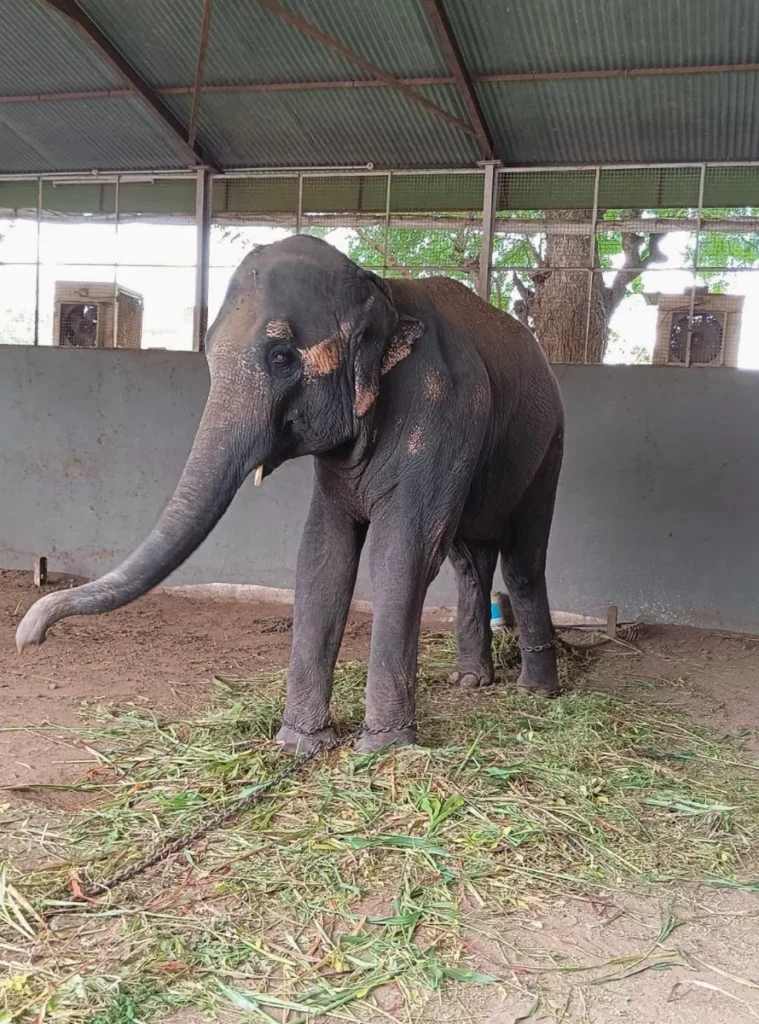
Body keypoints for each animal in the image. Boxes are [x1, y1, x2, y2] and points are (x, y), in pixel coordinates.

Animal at [16, 237, 561, 753]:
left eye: (281, 358)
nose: (28, 639)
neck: (382, 290)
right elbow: (323, 552)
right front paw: (299, 743)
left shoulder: (442, 412)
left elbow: (403, 551)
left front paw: (381, 747)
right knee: (470, 561)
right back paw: (469, 681)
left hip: (550, 445)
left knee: (522, 560)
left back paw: (536, 690)